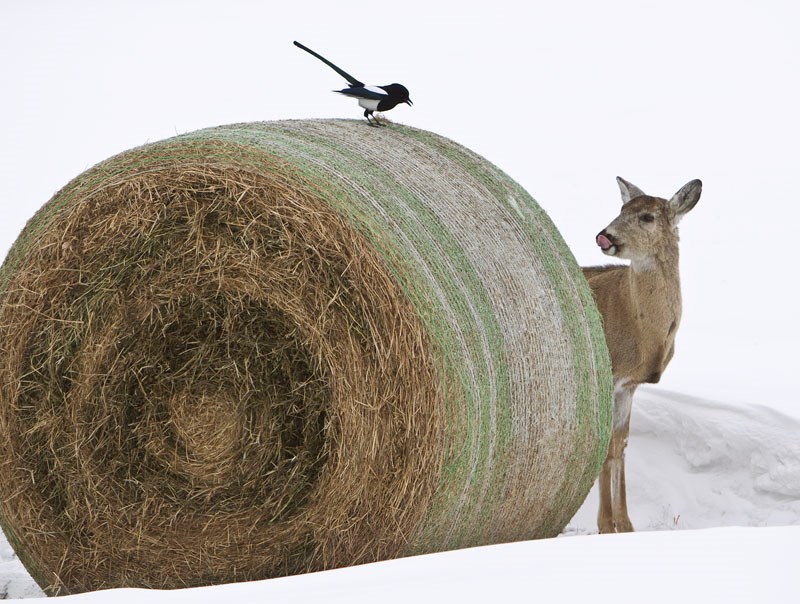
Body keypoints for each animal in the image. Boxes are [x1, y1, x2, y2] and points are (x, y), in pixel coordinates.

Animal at [580, 176, 700, 532]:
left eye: (647, 216)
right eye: (621, 210)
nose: (604, 235)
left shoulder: (629, 385)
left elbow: (620, 445)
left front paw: (626, 524)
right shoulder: (609, 375)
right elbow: (606, 447)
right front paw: (606, 525)